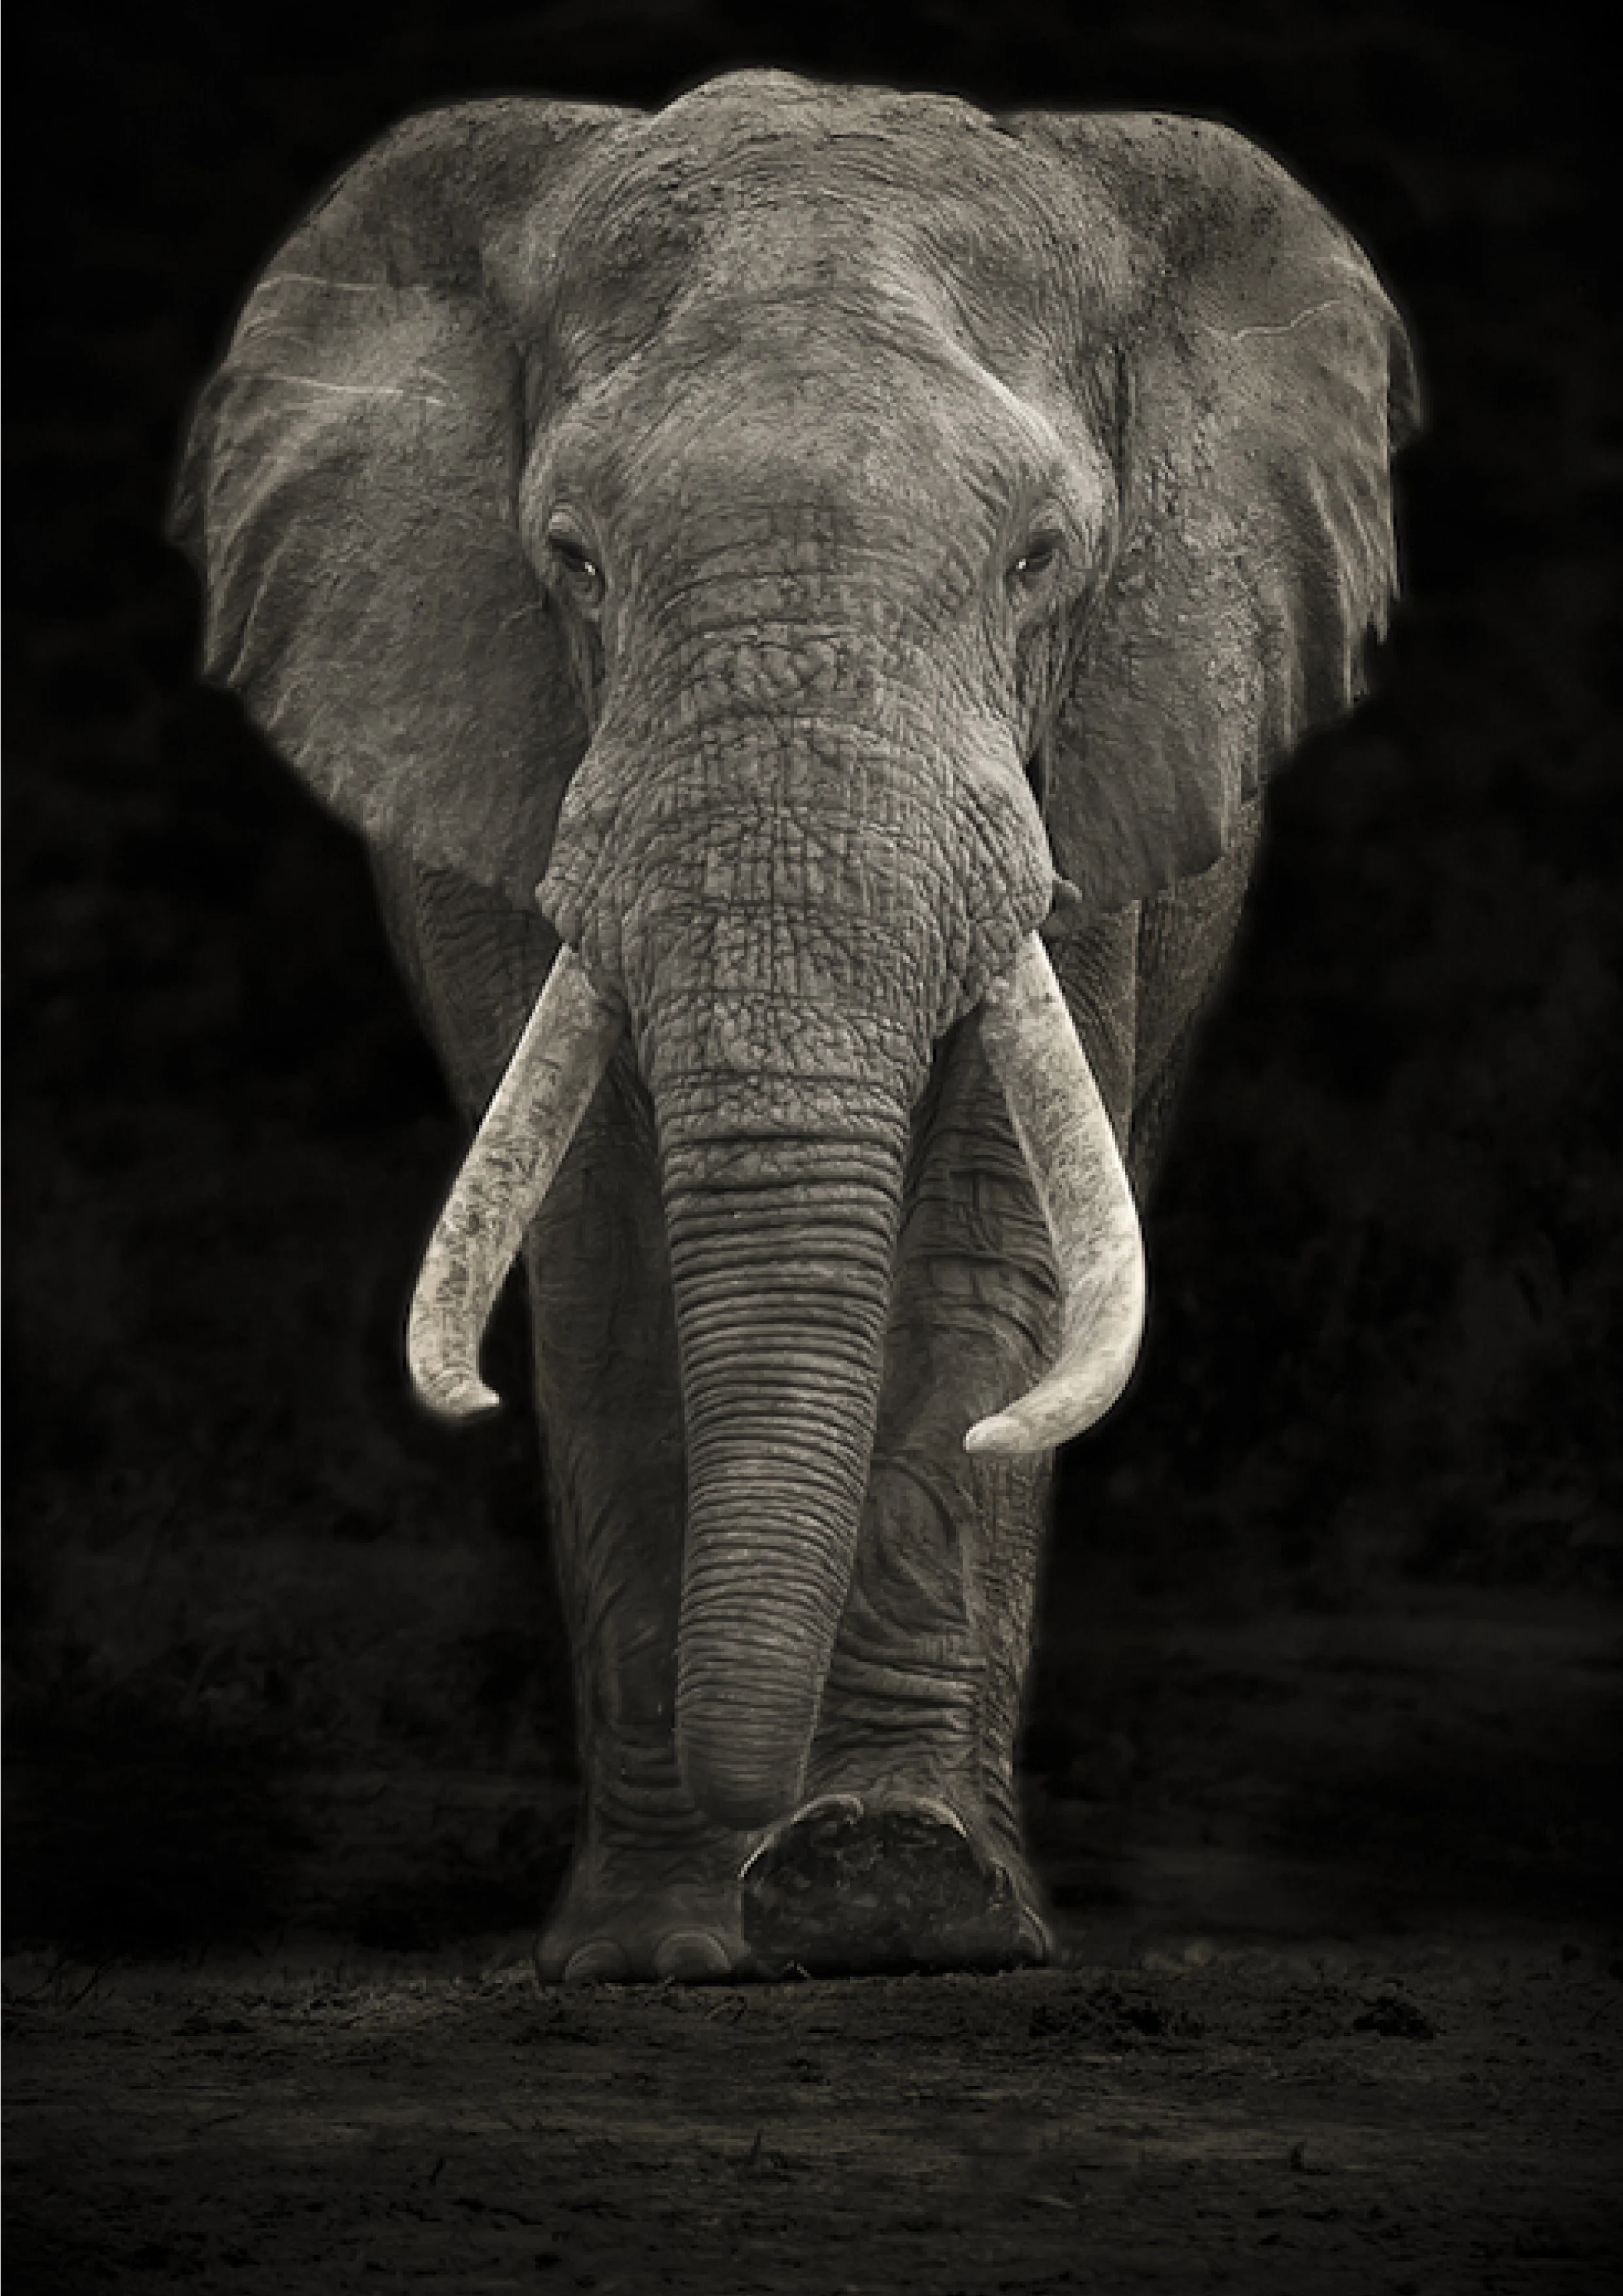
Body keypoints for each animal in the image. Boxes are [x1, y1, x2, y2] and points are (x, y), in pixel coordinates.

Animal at [171, 69, 1417, 1982]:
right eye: (573, 560)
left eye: (1041, 560)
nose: (761, 1829)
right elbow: (606, 1247)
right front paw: (658, 1946)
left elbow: (993, 1229)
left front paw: (899, 1898)